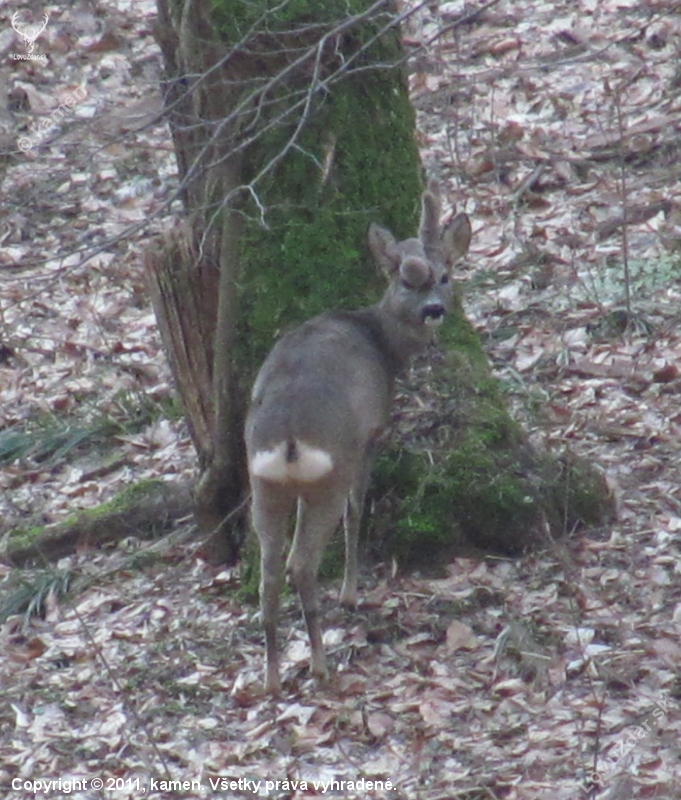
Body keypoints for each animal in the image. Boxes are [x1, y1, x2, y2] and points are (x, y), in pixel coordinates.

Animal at [245, 182, 472, 693]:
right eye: (406, 280)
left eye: (444, 275)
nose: (435, 310)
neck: (380, 340)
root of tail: (288, 437)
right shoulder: (371, 435)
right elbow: (357, 507)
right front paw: (350, 593)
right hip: (330, 468)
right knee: (301, 561)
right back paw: (320, 664)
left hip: (263, 483)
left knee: (270, 571)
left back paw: (271, 678)